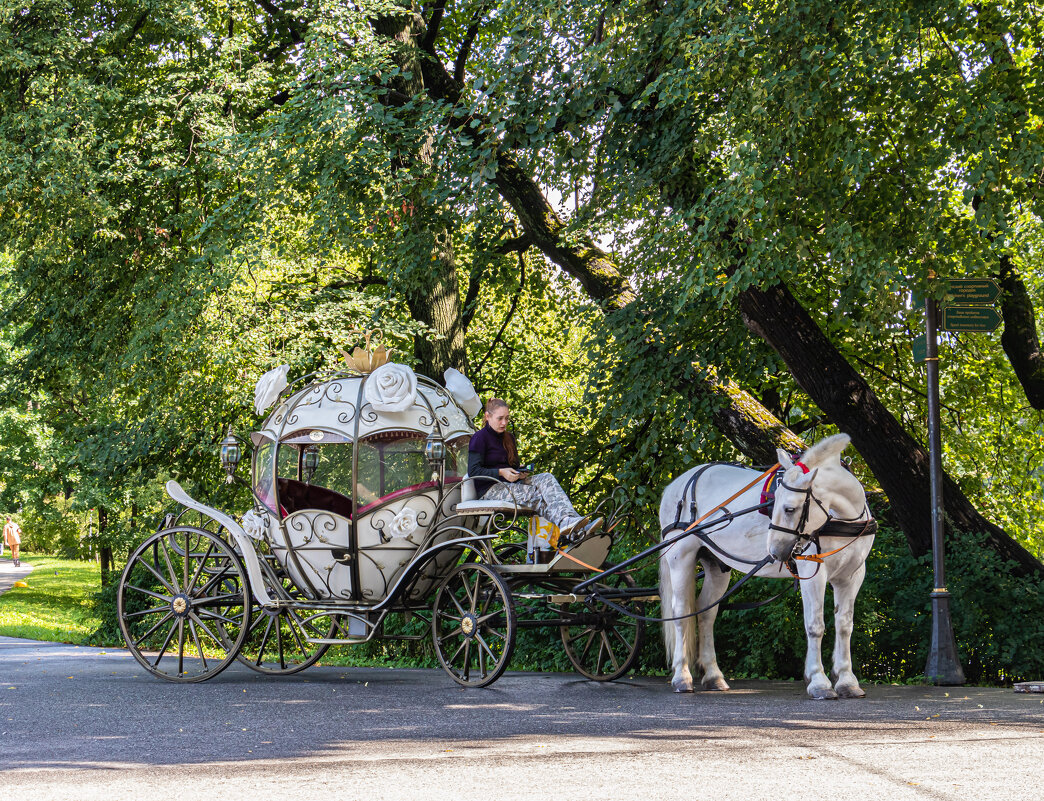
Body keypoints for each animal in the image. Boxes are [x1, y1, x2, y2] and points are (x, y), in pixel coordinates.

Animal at [659, 434, 872, 697]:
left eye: (789, 508)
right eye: (773, 502)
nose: (775, 552)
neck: (843, 517)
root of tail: (675, 484)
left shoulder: (852, 575)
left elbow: (844, 626)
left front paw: (847, 681)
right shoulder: (812, 571)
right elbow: (815, 625)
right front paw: (819, 682)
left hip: (716, 565)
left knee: (707, 612)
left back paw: (713, 675)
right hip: (680, 557)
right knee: (681, 613)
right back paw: (681, 676)